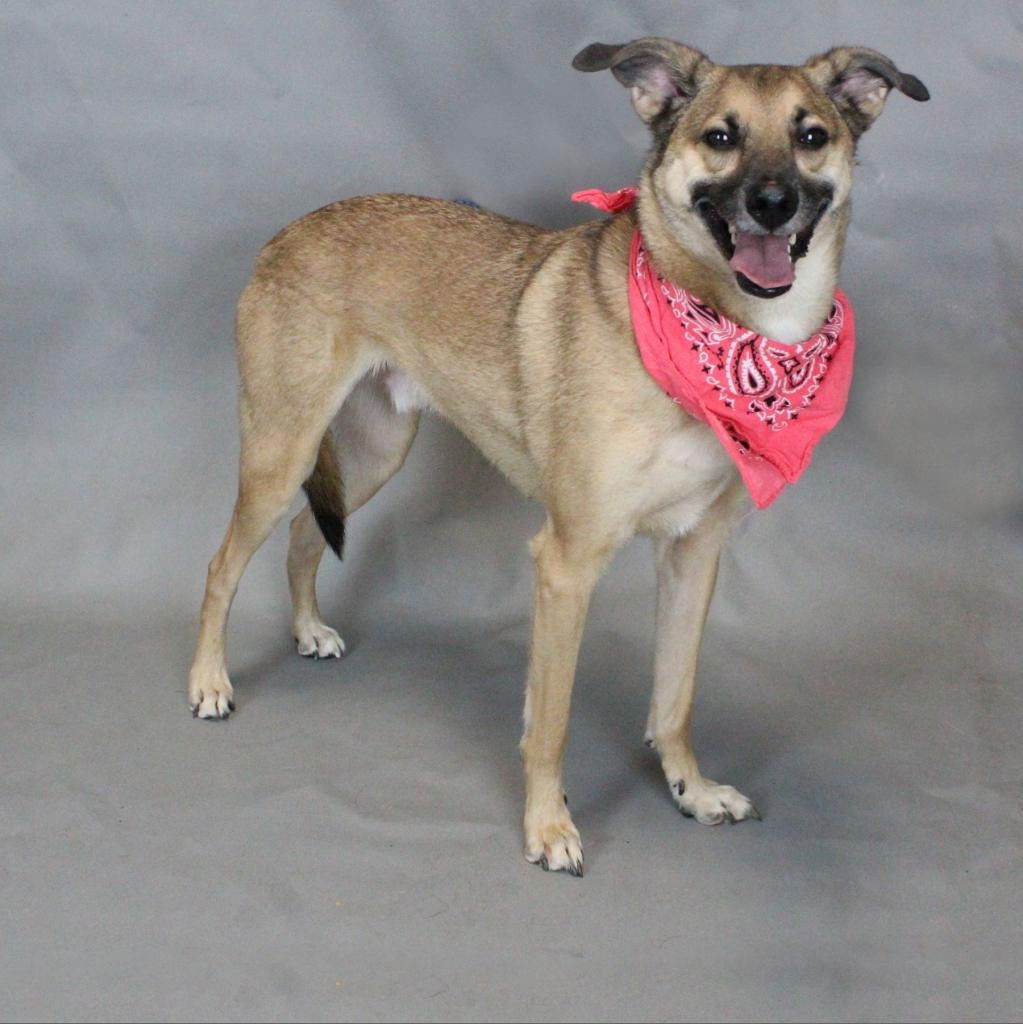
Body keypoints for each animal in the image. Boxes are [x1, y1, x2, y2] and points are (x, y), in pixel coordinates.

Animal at [184, 37, 929, 872]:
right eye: (720, 137)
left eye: (810, 136)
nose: (772, 203)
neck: (721, 333)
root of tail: (288, 230)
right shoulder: (567, 564)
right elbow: (550, 719)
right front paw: (547, 827)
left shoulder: (693, 555)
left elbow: (674, 699)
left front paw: (691, 791)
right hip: (282, 447)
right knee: (223, 563)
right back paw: (209, 682)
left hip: (376, 448)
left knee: (305, 533)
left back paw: (308, 628)